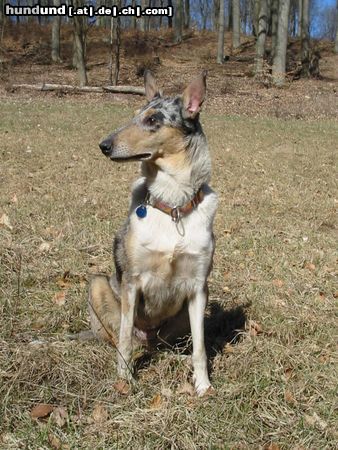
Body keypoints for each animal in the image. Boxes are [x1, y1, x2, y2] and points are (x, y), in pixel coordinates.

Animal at [88, 68, 218, 396]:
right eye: (135, 116)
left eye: (152, 120)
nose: (103, 145)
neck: (172, 205)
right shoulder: (132, 283)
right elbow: (123, 338)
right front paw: (125, 381)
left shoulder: (198, 287)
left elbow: (200, 348)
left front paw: (203, 385)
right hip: (97, 285)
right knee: (122, 339)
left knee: (168, 346)